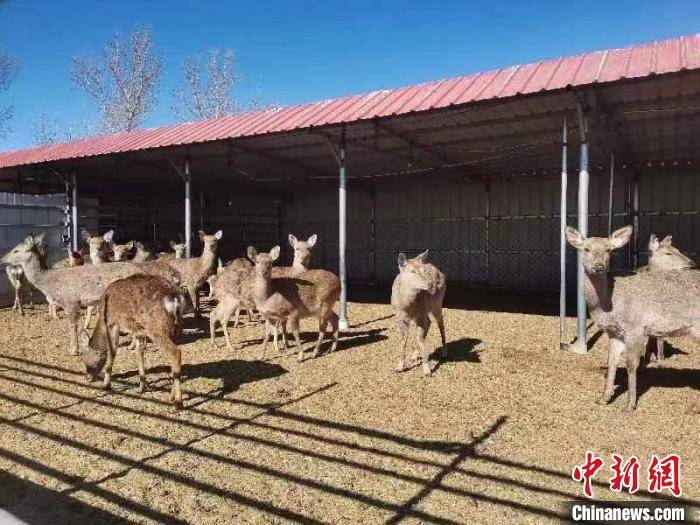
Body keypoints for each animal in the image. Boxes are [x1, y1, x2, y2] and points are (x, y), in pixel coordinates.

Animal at [1, 233, 144, 355]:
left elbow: (72, 325)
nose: (2, 260)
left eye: (16, 250)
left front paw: (74, 350)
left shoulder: (71, 300)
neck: (49, 282)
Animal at [78, 274, 186, 408]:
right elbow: (139, 352)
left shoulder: (113, 323)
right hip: (174, 326)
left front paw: (106, 385)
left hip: (156, 328)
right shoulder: (139, 330)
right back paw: (171, 397)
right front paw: (142, 387)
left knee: (176, 352)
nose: (87, 377)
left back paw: (178, 402)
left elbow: (112, 351)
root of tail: (175, 299)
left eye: (84, 359)